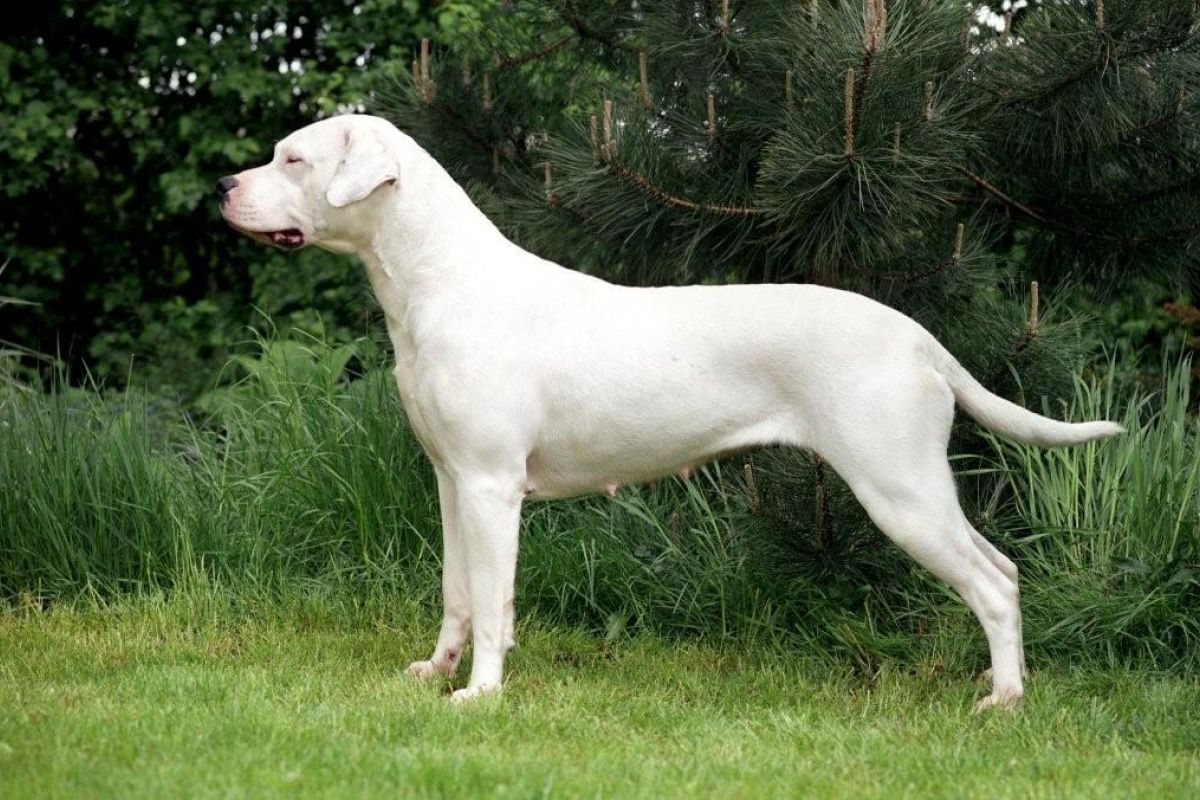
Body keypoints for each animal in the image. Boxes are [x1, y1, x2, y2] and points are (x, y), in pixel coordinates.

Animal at [218, 114, 1123, 709]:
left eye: (292, 158)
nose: (224, 186)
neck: (435, 280)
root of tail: (916, 336)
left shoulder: (490, 488)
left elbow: (495, 601)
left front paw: (480, 695)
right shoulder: (451, 480)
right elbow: (458, 593)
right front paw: (436, 672)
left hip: (899, 490)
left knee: (992, 583)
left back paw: (1003, 701)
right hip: (916, 489)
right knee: (1003, 570)